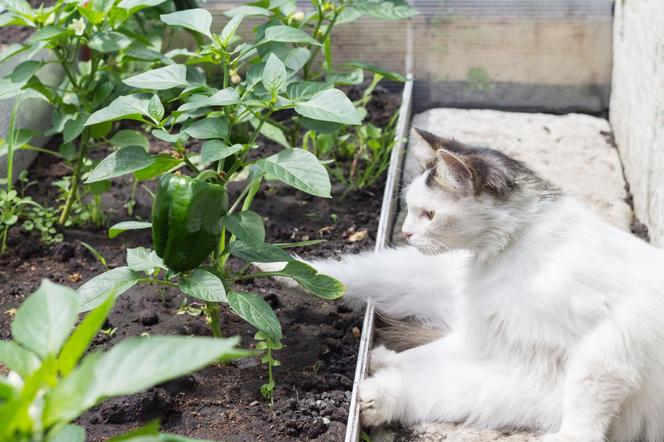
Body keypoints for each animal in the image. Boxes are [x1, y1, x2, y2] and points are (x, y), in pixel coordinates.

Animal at [262, 129, 664, 442]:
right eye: (409, 209)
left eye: (429, 214)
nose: (406, 231)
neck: (512, 248)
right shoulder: (497, 347)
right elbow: (429, 362)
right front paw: (385, 364)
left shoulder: (607, 339)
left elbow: (585, 401)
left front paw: (571, 436)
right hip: (411, 273)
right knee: (349, 276)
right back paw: (275, 269)